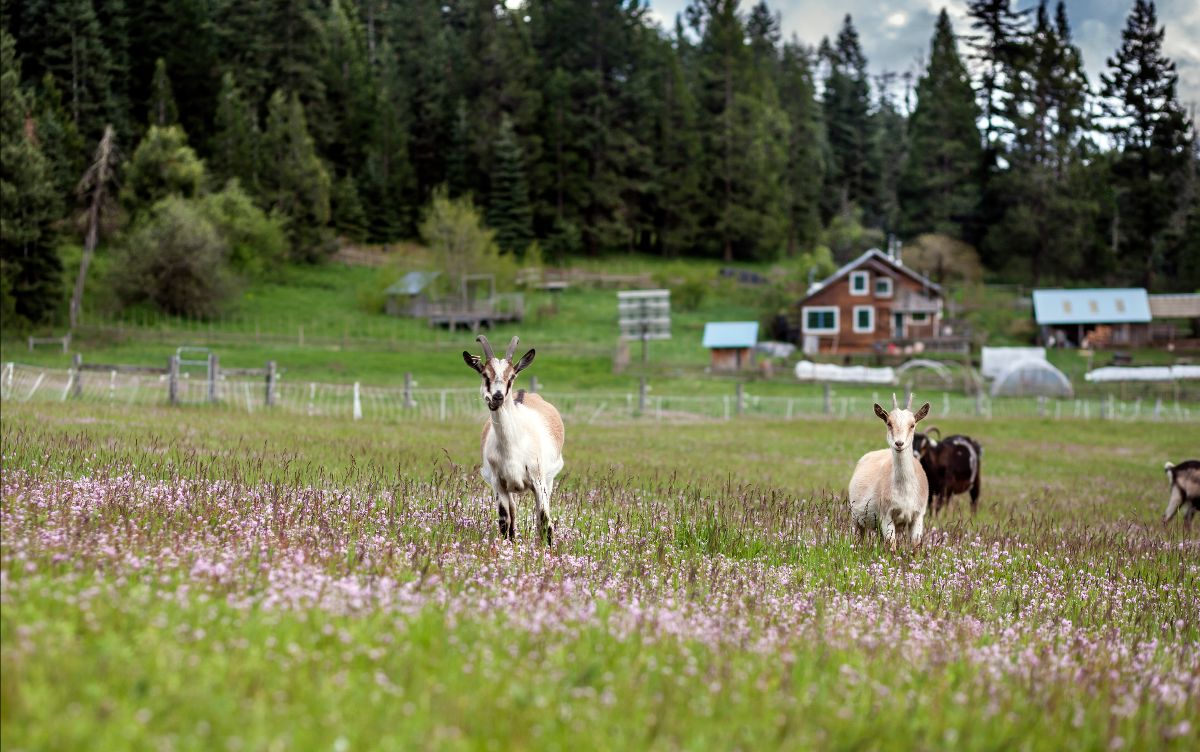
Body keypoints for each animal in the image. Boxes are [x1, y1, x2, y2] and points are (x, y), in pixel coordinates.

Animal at [463, 334, 565, 545]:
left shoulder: (538, 480)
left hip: (548, 480)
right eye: (485, 375)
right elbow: (504, 521)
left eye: (512, 376)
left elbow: (545, 520)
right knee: (513, 514)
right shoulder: (498, 483)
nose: (497, 397)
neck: (513, 446)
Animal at [849, 393, 931, 551]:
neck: (905, 492)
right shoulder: (886, 515)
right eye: (889, 423)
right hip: (857, 518)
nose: (899, 443)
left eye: (912, 425)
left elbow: (915, 547)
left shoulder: (918, 516)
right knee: (859, 537)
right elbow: (891, 547)